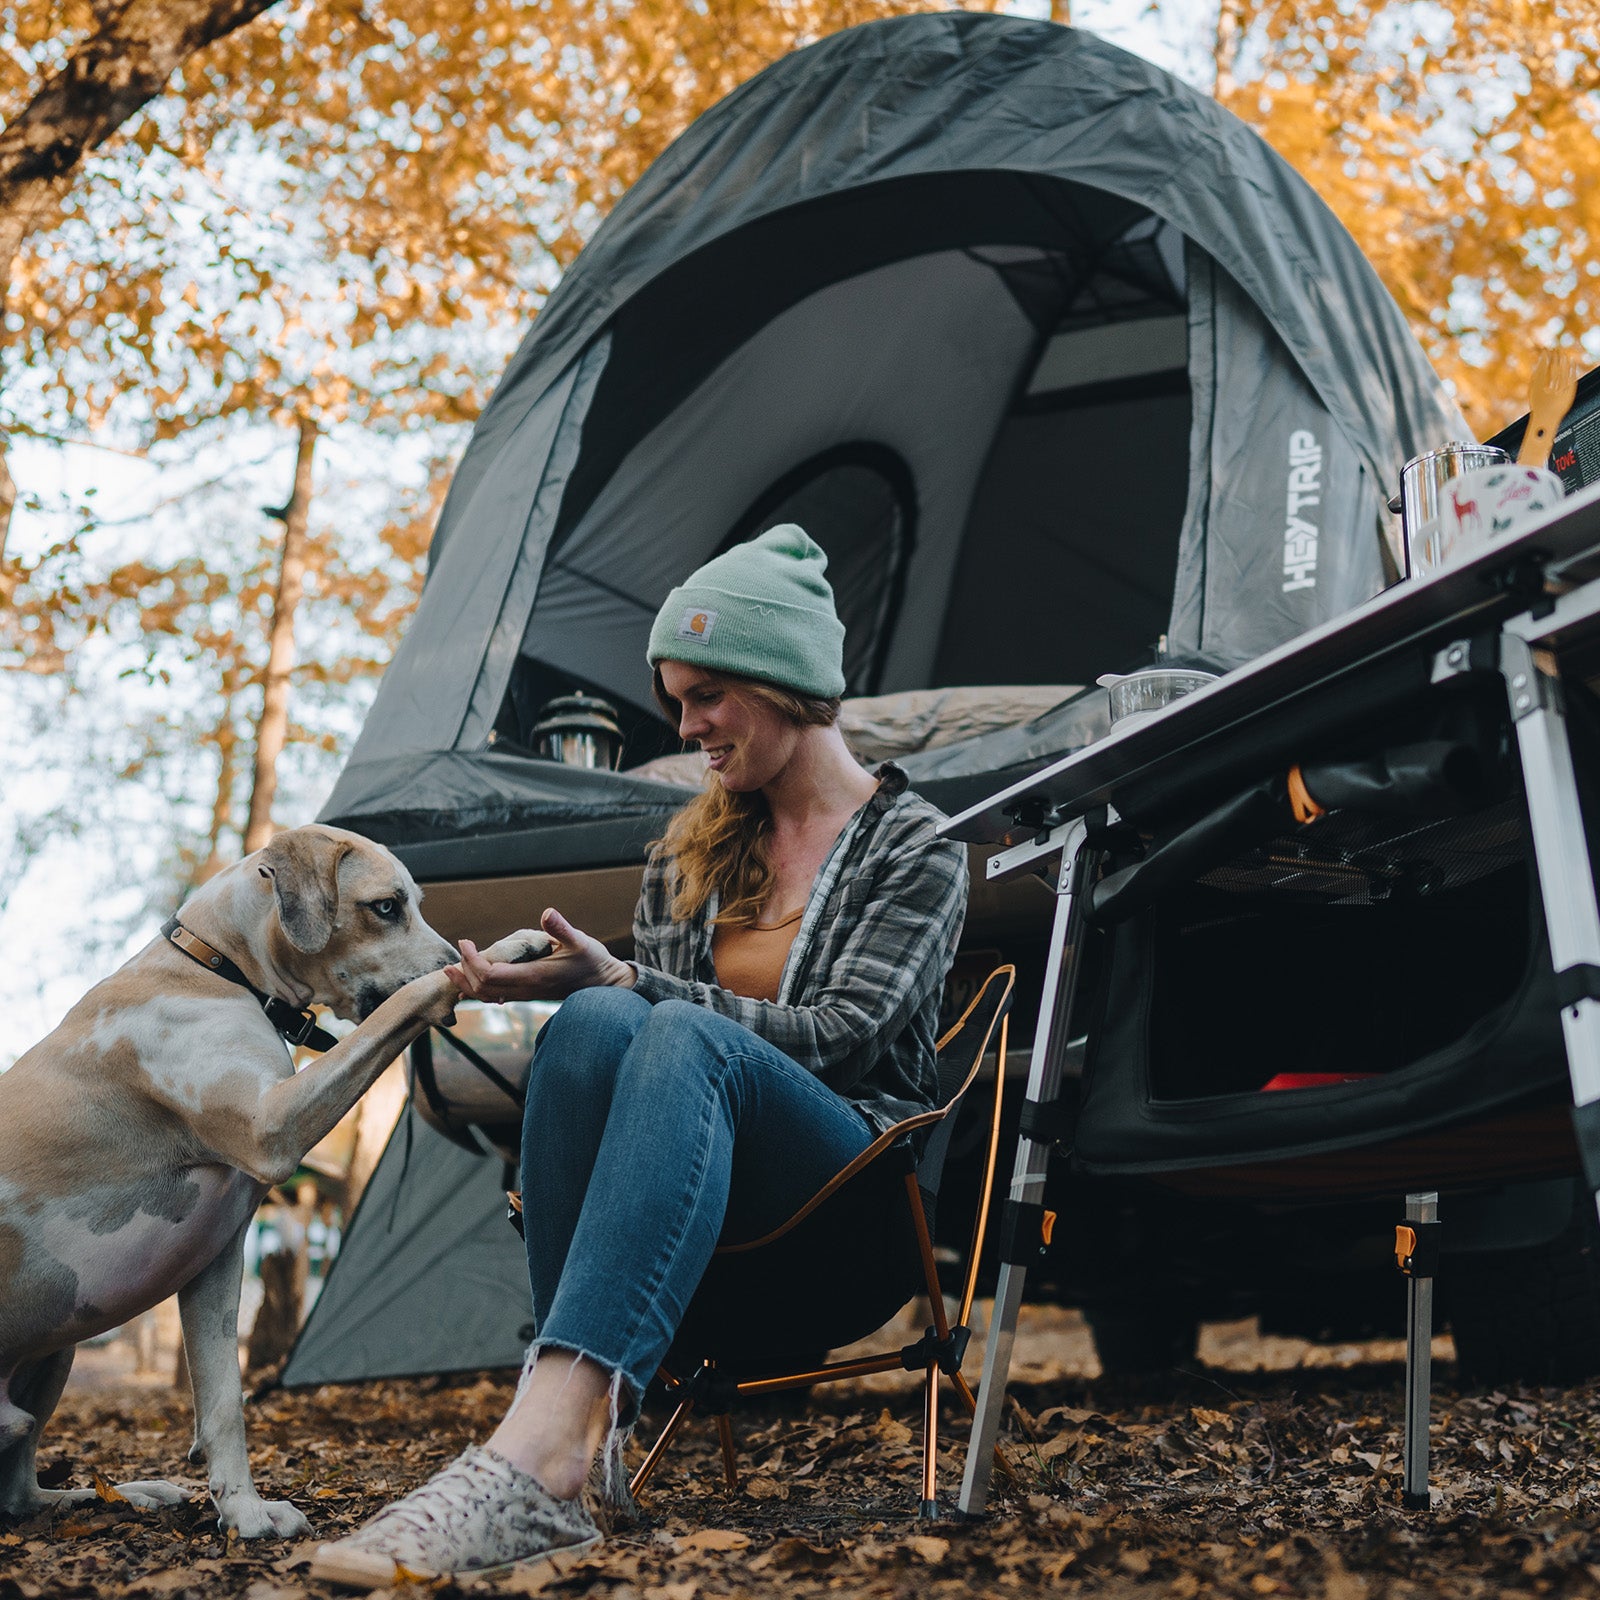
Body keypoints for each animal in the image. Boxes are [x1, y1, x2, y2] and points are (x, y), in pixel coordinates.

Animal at [0, 825, 547, 1536]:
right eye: (386, 907)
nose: (455, 952)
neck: (214, 969)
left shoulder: (213, 1262)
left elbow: (224, 1401)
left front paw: (246, 1513)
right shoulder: (272, 1127)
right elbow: (413, 997)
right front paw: (504, 951)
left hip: (60, 1335)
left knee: (20, 1493)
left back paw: (128, 1493)